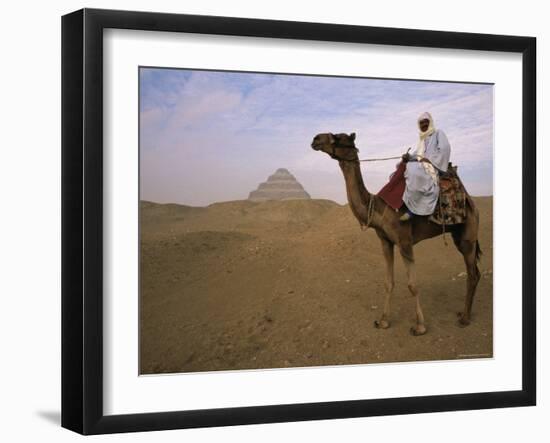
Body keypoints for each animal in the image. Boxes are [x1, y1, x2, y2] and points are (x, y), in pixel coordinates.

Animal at [310, 132, 484, 336]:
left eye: (338, 137)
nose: (316, 139)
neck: (378, 208)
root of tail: (470, 202)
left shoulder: (404, 241)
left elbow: (412, 285)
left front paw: (420, 326)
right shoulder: (385, 241)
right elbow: (389, 282)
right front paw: (383, 321)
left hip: (468, 235)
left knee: (472, 273)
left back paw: (465, 318)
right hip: (458, 234)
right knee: (475, 272)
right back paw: (463, 313)